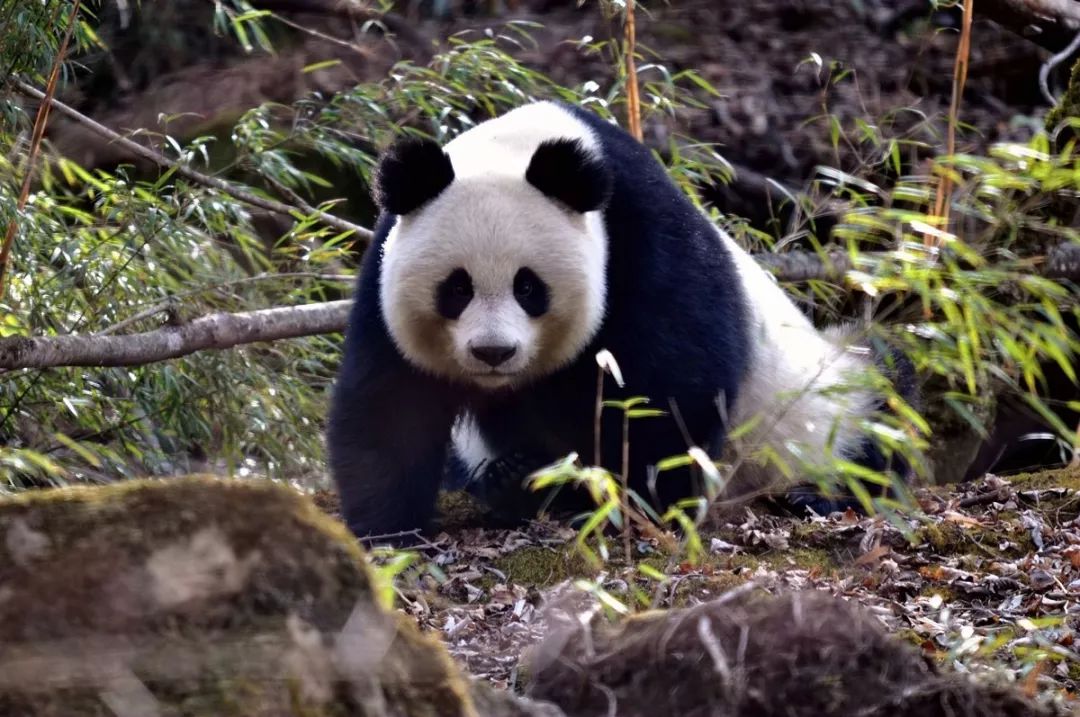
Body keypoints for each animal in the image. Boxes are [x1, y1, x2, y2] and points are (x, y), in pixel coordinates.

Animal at [328, 99, 920, 537]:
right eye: (456, 288)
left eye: (528, 287)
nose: (493, 352)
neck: (524, 147)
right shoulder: (384, 273)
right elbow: (391, 403)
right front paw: (388, 530)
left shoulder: (642, 243)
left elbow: (673, 386)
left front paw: (633, 500)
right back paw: (511, 476)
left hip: (825, 403)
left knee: (883, 393)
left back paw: (819, 496)